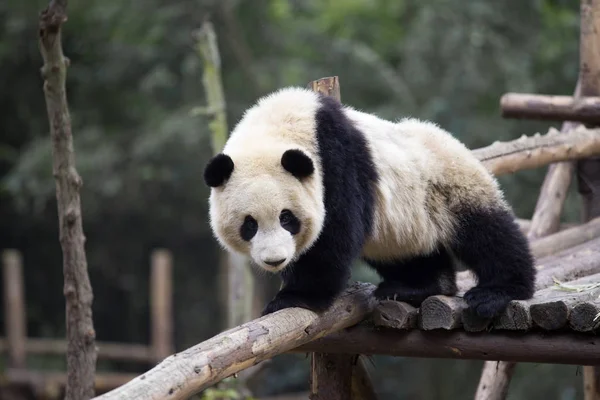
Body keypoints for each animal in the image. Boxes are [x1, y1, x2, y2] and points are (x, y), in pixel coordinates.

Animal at [204, 87, 536, 318]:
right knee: (409, 253)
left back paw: (497, 291)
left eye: (287, 218)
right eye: (249, 224)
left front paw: (297, 296)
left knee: (489, 234)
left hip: (451, 184)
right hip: (408, 225)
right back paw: (419, 286)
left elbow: (336, 231)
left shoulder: (334, 158)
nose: (275, 260)